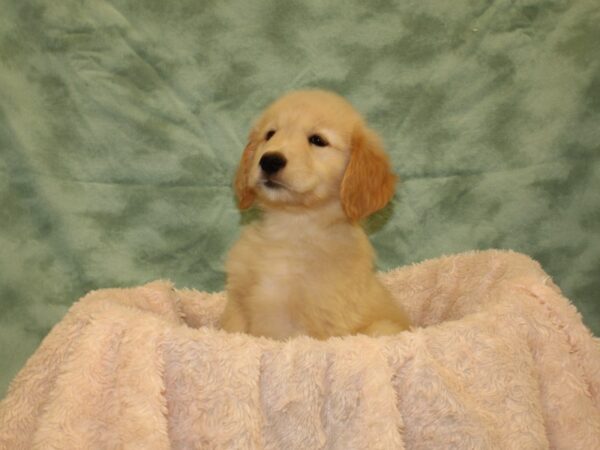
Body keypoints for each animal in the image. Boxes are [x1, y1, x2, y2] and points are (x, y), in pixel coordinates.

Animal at [219, 89, 408, 340]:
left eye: (318, 140)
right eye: (270, 134)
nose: (269, 160)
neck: (293, 225)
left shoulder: (323, 322)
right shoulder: (237, 306)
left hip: (382, 328)